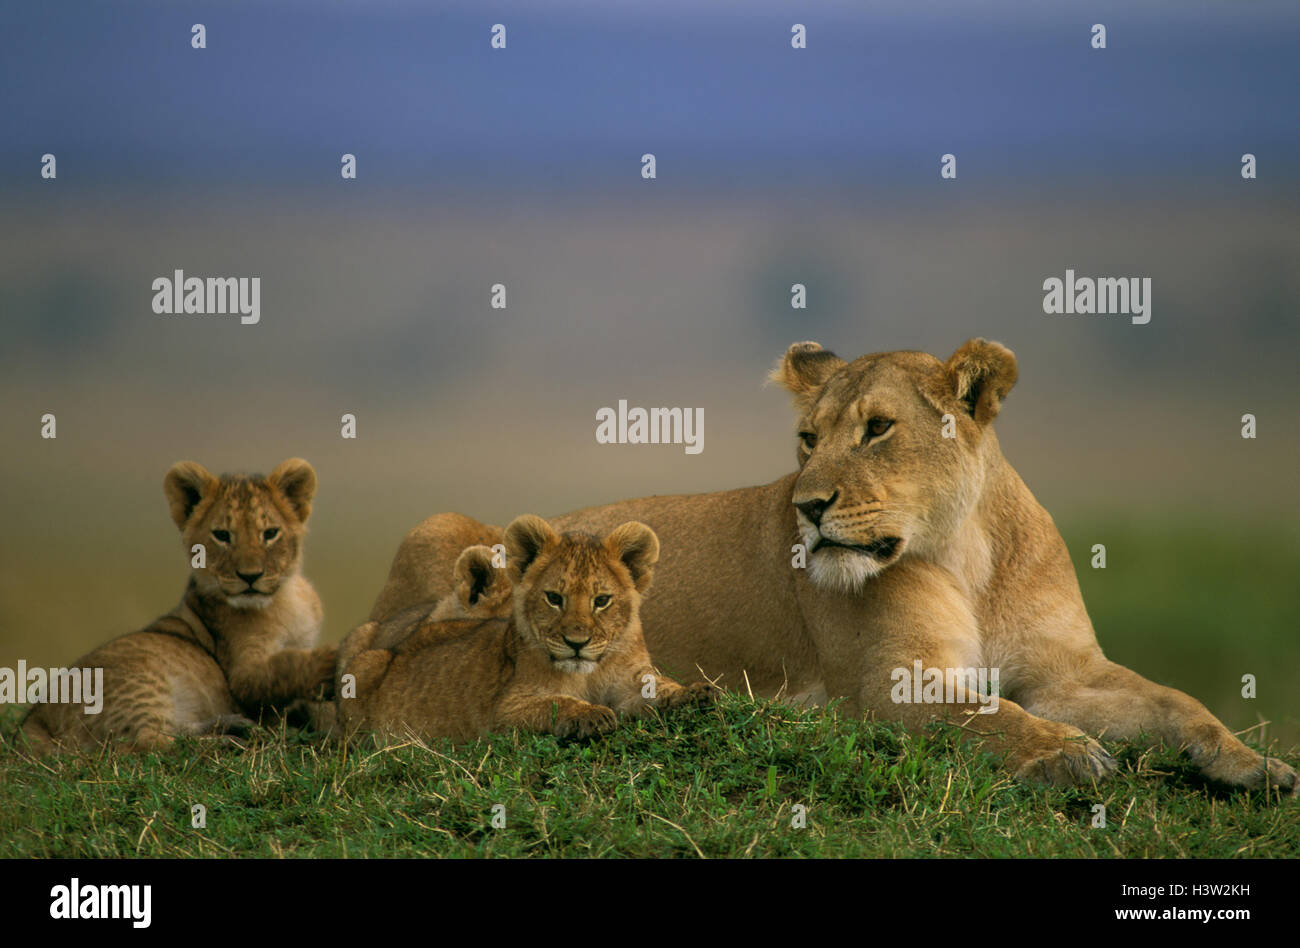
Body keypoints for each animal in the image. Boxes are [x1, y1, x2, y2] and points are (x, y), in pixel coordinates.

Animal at [20, 458, 337, 753]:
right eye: (222, 535)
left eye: (270, 533)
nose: (250, 577)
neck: (285, 597)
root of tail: (32, 724)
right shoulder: (241, 675)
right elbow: (283, 665)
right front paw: (329, 660)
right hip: (139, 684)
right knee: (146, 743)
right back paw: (226, 742)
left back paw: (231, 726)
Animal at [336, 515, 713, 742]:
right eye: (554, 598)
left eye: (602, 600)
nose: (577, 642)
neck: (589, 674)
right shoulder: (504, 710)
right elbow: (556, 703)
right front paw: (590, 715)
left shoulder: (630, 682)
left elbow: (659, 687)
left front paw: (694, 693)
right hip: (361, 669)